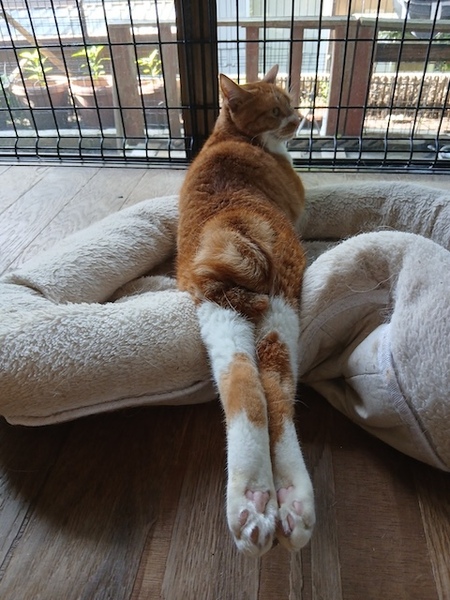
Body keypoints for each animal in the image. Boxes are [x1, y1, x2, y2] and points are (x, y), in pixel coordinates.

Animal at [176, 65, 315, 557]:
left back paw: (255, 502)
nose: (300, 117)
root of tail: (232, 221)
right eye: (276, 110)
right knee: (277, 395)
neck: (229, 137)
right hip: (281, 303)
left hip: (221, 315)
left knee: (246, 390)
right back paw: (288, 500)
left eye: (290, 101)